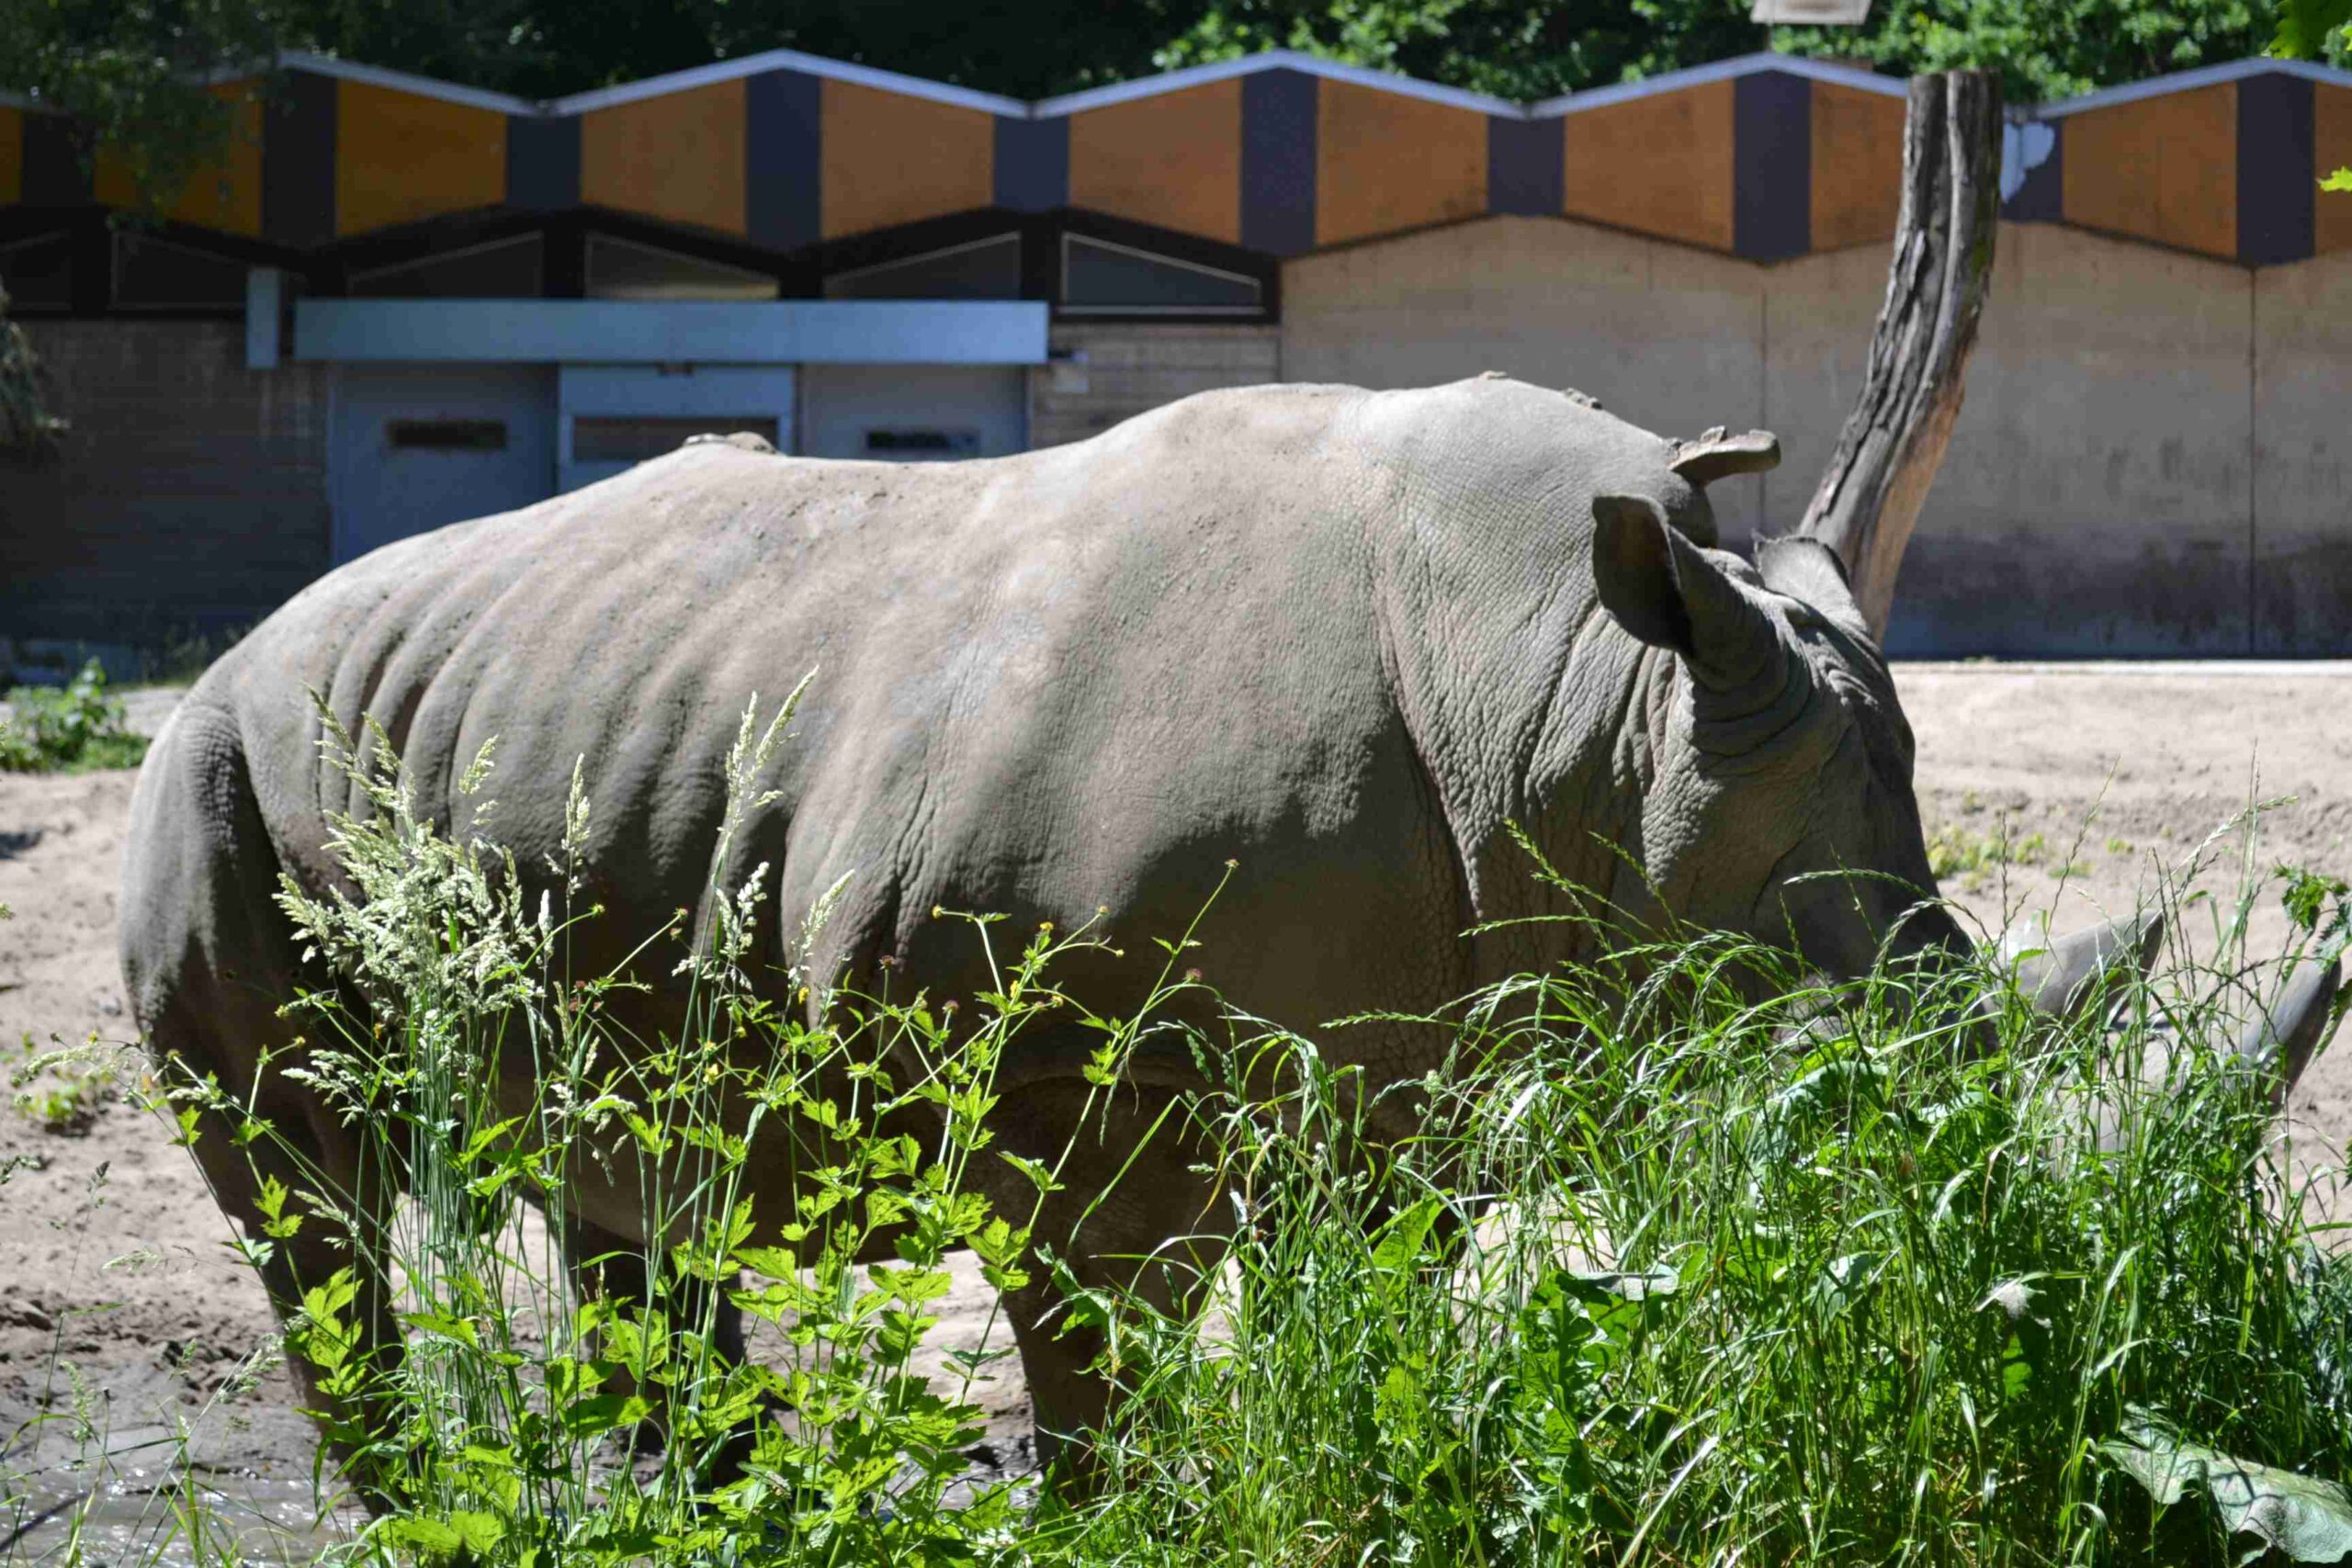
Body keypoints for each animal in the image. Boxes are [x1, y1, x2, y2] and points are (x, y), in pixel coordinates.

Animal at [116, 374, 2295, 1481]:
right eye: (1810, 1092)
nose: (1978, 1295)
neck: (1576, 702)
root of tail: (237, 640)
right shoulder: (1068, 1128)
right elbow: (1104, 1384)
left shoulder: (1432, 1076)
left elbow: (1387, 1313)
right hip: (208, 762)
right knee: (310, 1199)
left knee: (630, 1184)